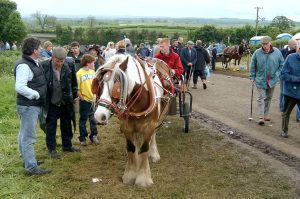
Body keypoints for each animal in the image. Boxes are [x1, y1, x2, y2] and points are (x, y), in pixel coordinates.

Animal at [91, 54, 171, 187]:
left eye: (117, 89)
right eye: (99, 86)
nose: (99, 116)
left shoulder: (149, 126)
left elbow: (145, 148)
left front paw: (143, 179)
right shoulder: (126, 127)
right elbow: (131, 148)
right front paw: (130, 175)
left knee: (153, 135)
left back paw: (153, 154)